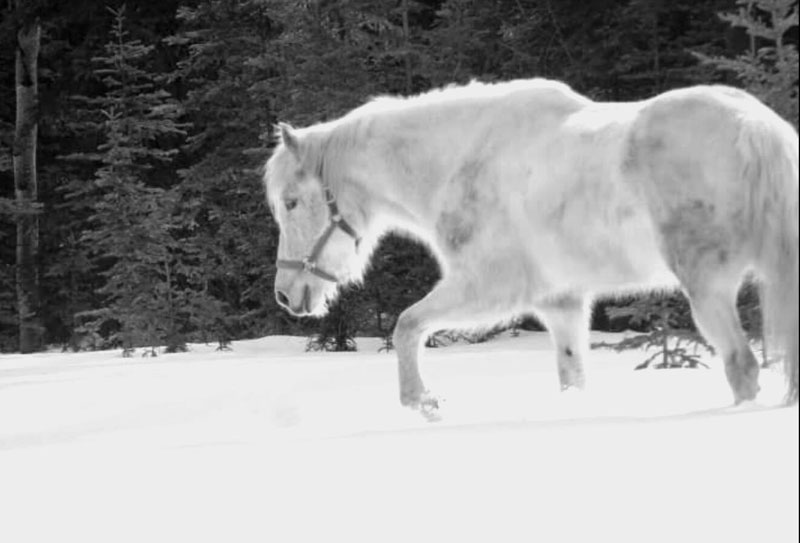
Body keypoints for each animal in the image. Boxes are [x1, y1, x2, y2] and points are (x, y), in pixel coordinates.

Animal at [264, 78, 800, 414]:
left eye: (291, 202)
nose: (286, 294)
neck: (460, 160)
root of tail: (756, 125)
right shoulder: (561, 305)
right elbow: (572, 377)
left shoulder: (487, 289)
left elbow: (406, 325)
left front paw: (424, 403)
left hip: (708, 288)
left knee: (742, 368)